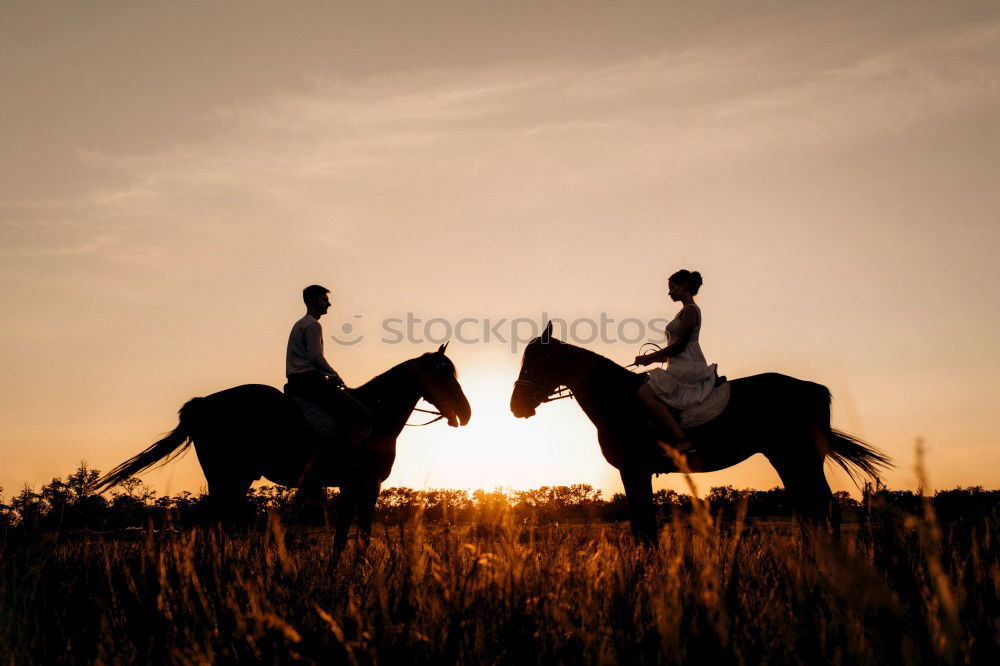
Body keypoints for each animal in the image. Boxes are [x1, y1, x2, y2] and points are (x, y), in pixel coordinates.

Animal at [95, 342, 470, 548]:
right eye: (443, 375)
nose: (466, 414)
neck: (376, 414)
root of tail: (203, 403)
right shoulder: (367, 485)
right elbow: (359, 534)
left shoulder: (349, 486)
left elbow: (342, 537)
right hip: (228, 476)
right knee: (211, 522)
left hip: (230, 479)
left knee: (213, 522)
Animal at [512, 322, 888, 544]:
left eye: (536, 362)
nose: (516, 406)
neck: (618, 398)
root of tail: (814, 388)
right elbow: (643, 526)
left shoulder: (633, 471)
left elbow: (643, 527)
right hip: (789, 459)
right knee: (813, 510)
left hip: (798, 458)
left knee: (822, 509)